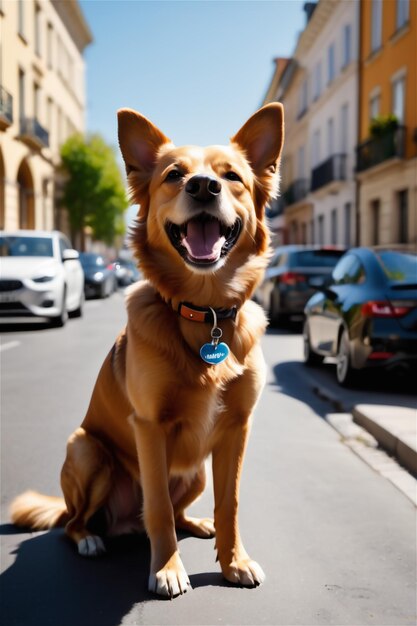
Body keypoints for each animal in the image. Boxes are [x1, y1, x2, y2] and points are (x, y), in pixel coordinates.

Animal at [9, 101, 282, 596]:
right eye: (175, 175)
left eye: (232, 175)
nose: (203, 186)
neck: (205, 313)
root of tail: (121, 524)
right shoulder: (150, 428)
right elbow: (156, 505)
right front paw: (167, 568)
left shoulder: (237, 428)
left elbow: (230, 503)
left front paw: (234, 560)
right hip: (87, 451)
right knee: (75, 522)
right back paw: (91, 539)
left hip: (195, 473)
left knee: (177, 510)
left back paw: (196, 523)